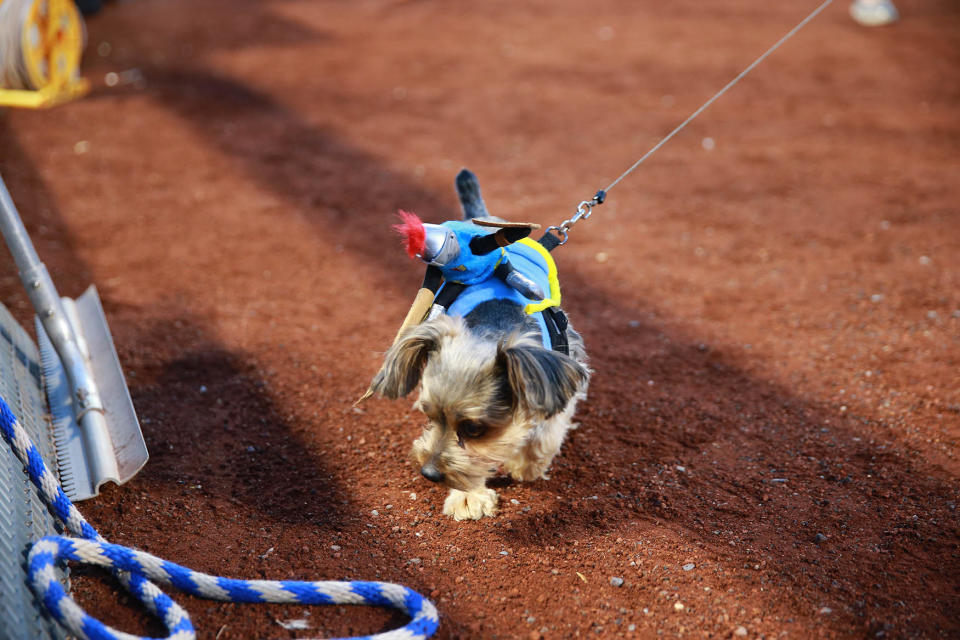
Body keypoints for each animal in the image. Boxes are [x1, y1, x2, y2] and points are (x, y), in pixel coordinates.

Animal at [372, 170, 588, 520]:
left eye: (474, 429)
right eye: (428, 416)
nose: (428, 473)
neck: (491, 327)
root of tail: (488, 220)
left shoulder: (563, 368)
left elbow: (547, 428)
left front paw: (527, 463)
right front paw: (468, 495)